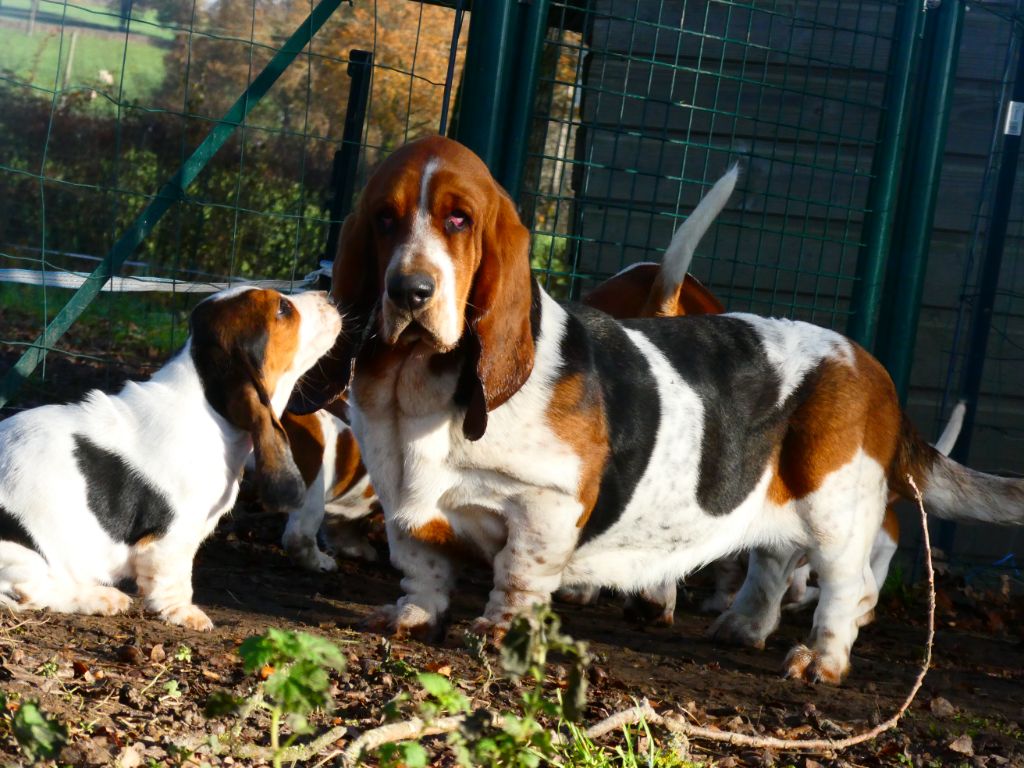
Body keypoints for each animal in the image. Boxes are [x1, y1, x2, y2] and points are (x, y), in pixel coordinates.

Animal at [0, 288, 344, 630]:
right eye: (283, 308)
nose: (327, 294)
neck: (206, 405)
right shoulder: (173, 537)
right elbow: (175, 577)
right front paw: (184, 612)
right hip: (24, 556)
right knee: (33, 592)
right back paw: (101, 597)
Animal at [303, 135, 1024, 684]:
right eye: (384, 219)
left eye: (459, 220)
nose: (410, 291)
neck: (419, 381)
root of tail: (874, 372)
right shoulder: (404, 498)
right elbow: (421, 565)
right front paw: (414, 614)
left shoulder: (545, 505)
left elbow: (517, 576)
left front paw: (496, 633)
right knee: (771, 564)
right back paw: (741, 627)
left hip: (834, 513)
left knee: (848, 591)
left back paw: (818, 661)